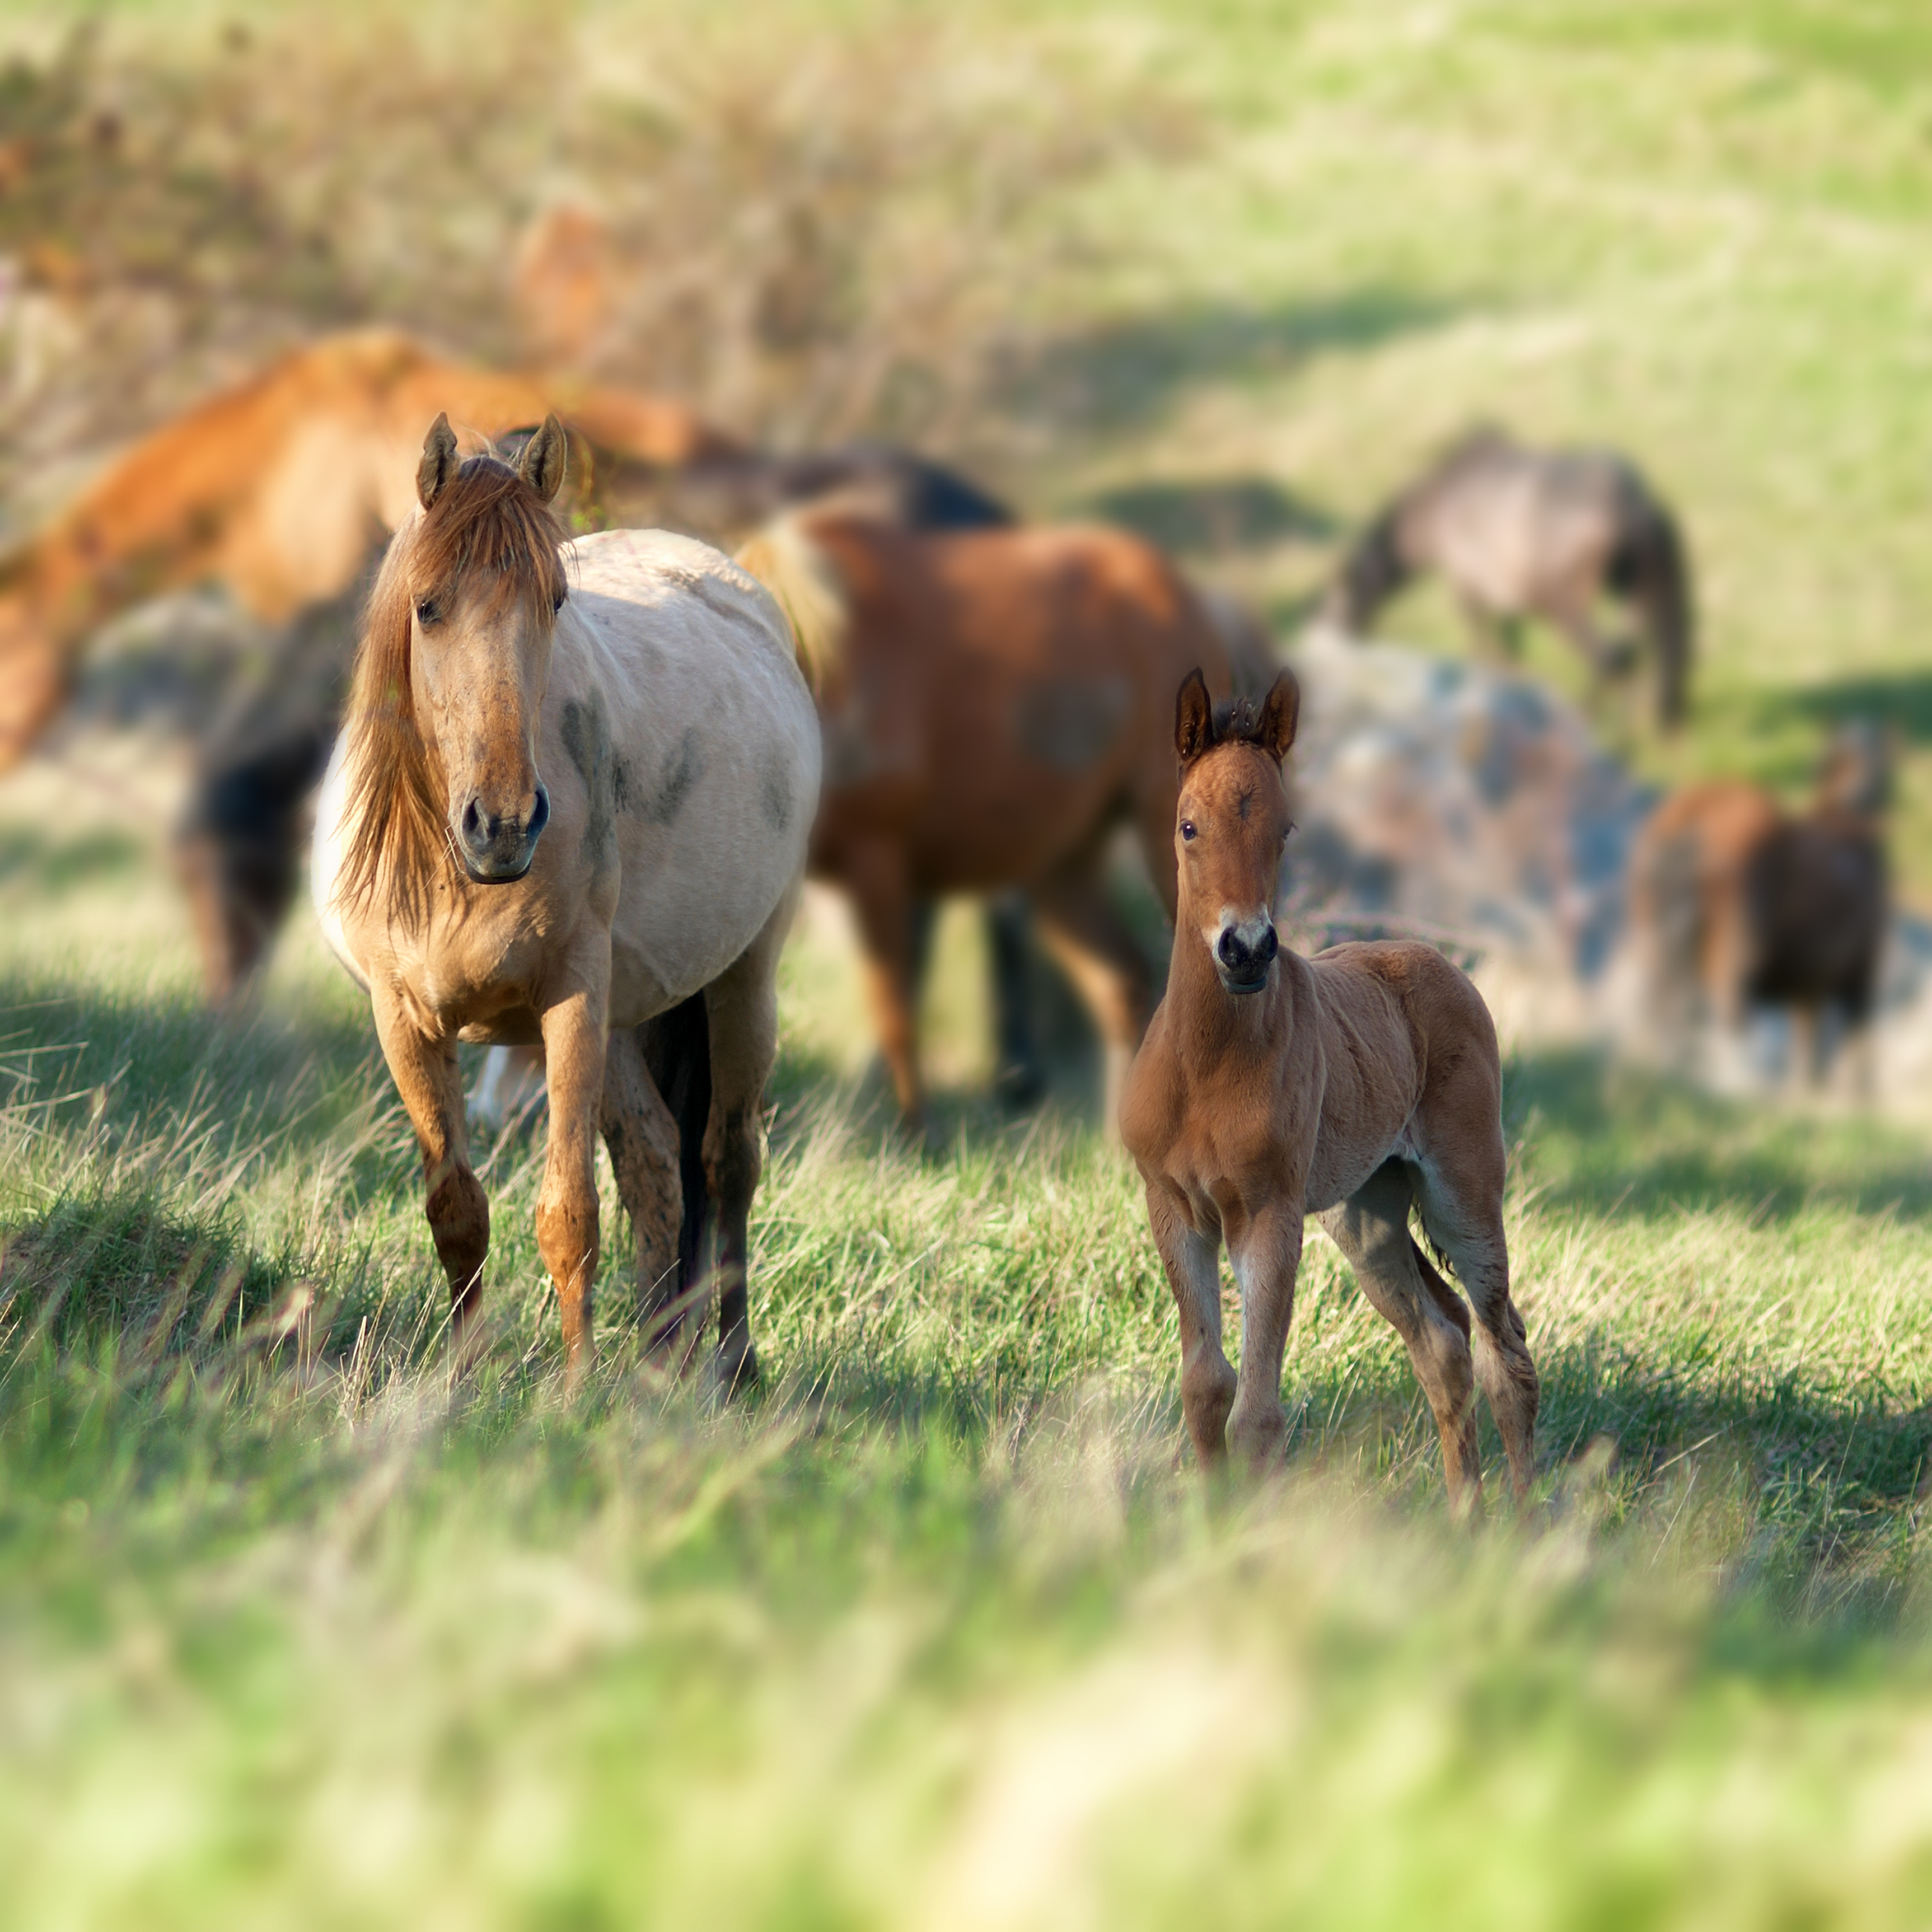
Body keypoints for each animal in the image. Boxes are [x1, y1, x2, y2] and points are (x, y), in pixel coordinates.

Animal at [311, 414, 820, 1384]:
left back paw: (732, 1364)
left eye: (554, 601)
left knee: (727, 1160)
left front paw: (576, 1392)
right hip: (629, 1014)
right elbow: (458, 1211)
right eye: (427, 606)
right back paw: (659, 1363)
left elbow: (568, 1213)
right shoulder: (406, 1021)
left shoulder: (570, 1004)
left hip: (744, 980)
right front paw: (463, 1380)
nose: (504, 824)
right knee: (657, 1163)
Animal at [1119, 670, 1539, 1509]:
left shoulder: (1268, 1216)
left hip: (1463, 1192)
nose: (1245, 949)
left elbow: (1256, 1411)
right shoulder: (1173, 1209)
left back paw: (1531, 1521)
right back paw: (1466, 1516)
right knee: (1442, 1342)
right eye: (1187, 826)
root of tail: (1438, 961)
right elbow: (1205, 1387)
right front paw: (1207, 1521)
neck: (1204, 1067)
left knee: (1501, 1347)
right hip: (1365, 1213)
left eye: (1284, 829)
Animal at [1323, 428, 1694, 731]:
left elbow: (1484, 647)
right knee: (1643, 653)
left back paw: (1588, 717)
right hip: (1638, 592)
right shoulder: (1497, 599)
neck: (1438, 507)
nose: (1338, 636)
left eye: (1343, 597)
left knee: (1610, 658)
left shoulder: (1467, 589)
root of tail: (1630, 502)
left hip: (1563, 605)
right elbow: (1506, 647)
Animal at [1627, 722, 1890, 1089]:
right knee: (1726, 1012)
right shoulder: (1860, 971)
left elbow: (1808, 1046)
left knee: (1662, 1005)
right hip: (1736, 949)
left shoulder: (1810, 982)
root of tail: (1700, 809)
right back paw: (1736, 1085)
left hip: (1656, 936)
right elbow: (1853, 1042)